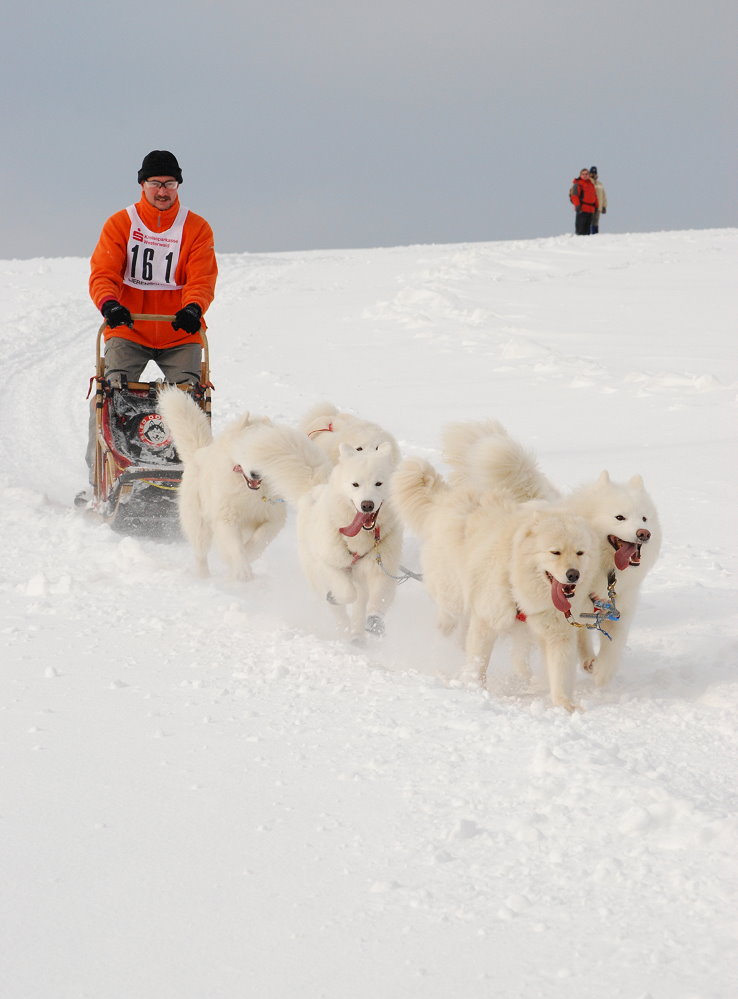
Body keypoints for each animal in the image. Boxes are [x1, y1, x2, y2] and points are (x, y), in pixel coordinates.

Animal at [157, 388, 286, 584]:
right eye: (244, 451)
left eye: (263, 453)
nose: (256, 474)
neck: (247, 490)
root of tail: (197, 453)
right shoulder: (226, 518)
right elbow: (235, 547)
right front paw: (242, 570)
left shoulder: (273, 517)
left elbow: (259, 539)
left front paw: (248, 557)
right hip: (199, 525)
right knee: (200, 553)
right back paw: (203, 577)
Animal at [244, 422, 400, 640]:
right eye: (355, 484)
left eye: (379, 483)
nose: (367, 505)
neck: (360, 540)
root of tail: (314, 488)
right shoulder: (328, 563)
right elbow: (347, 592)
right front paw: (335, 597)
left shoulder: (383, 567)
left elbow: (380, 597)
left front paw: (375, 621)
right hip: (314, 572)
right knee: (339, 608)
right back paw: (345, 630)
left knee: (360, 605)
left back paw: (357, 636)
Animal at [392, 460, 600, 712]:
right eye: (555, 552)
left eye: (580, 552)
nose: (573, 575)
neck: (517, 577)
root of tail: (446, 499)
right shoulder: (487, 619)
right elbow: (479, 661)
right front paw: (474, 687)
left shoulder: (557, 632)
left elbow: (560, 672)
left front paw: (565, 705)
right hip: (453, 599)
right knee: (448, 624)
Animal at [440, 420, 660, 688]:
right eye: (620, 517)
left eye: (644, 518)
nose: (644, 533)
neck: (603, 572)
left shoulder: (618, 609)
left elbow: (612, 648)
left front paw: (601, 674)